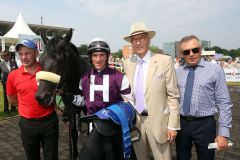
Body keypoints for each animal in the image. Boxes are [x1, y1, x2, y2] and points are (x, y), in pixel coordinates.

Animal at [34, 29, 89, 160]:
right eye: (40, 61)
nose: (41, 97)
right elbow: (72, 133)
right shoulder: (70, 108)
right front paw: (74, 154)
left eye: (59, 61)